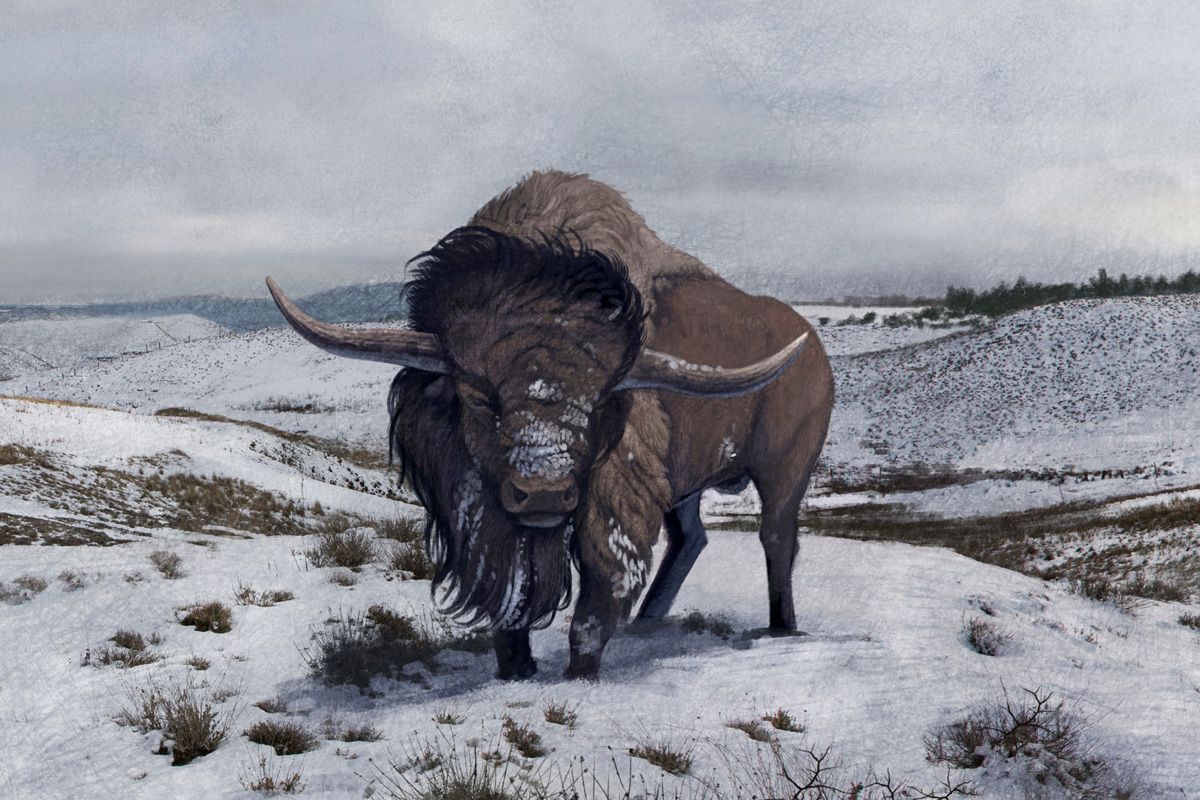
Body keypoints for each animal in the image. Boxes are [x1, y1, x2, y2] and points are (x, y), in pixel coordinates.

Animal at [268, 170, 833, 679]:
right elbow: (511, 590)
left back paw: (780, 628)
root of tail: (812, 346)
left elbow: (599, 589)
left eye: (601, 399)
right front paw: (515, 668)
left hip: (783, 473)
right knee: (691, 539)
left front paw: (579, 674)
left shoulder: (613, 498)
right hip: (687, 486)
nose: (543, 493)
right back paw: (649, 621)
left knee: (776, 537)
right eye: (479, 395)